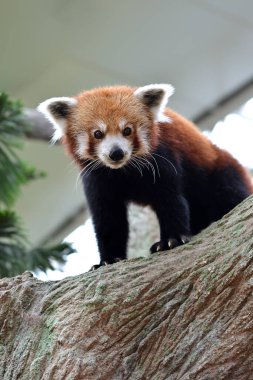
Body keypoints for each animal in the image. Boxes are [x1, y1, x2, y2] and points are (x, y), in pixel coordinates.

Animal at [37, 85, 253, 270]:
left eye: (127, 130)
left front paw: (171, 240)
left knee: (228, 193)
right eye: (98, 134)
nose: (116, 153)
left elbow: (170, 199)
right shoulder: (97, 178)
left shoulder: (163, 157)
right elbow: (107, 218)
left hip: (220, 171)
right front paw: (108, 259)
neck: (123, 170)